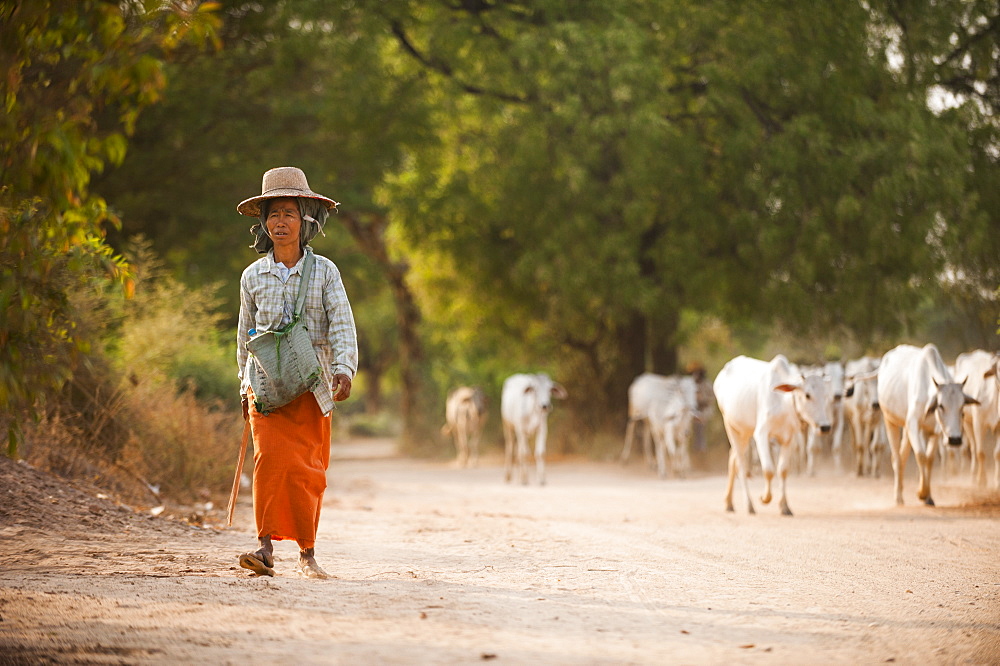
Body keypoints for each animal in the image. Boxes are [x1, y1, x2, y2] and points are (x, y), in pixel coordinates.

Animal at [716, 352, 832, 512]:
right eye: (807, 395)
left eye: (826, 395)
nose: (825, 427)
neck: (783, 402)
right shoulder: (761, 434)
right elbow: (768, 470)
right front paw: (764, 498)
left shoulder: (789, 439)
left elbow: (782, 470)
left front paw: (785, 506)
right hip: (731, 426)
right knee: (740, 464)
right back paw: (749, 504)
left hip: (744, 432)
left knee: (732, 459)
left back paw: (729, 502)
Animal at [876, 342, 976, 504]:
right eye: (941, 405)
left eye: (962, 407)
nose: (954, 439)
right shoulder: (913, 424)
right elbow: (921, 455)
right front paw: (921, 493)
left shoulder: (935, 431)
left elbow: (929, 459)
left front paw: (928, 496)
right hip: (890, 421)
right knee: (897, 458)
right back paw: (898, 497)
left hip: (910, 429)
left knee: (903, 456)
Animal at [952, 350, 1000, 486]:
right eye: (999, 368)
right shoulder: (979, 423)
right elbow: (980, 452)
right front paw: (981, 480)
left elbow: (997, 453)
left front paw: (997, 480)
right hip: (967, 423)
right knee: (973, 449)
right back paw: (973, 476)